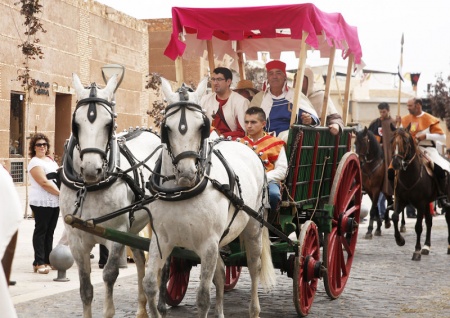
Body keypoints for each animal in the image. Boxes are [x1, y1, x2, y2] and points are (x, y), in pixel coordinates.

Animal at [60, 72, 161, 318]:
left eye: (109, 123)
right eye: (76, 123)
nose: (90, 169)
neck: (89, 187)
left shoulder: (118, 232)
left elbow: (109, 274)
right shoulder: (76, 239)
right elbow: (85, 287)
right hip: (135, 226)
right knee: (141, 257)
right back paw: (142, 308)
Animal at [142, 77, 276, 318]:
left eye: (201, 126)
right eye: (167, 128)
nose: (186, 174)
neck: (182, 192)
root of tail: (250, 148)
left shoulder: (209, 244)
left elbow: (203, 297)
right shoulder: (161, 239)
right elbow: (149, 285)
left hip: (253, 227)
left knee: (254, 267)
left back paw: (254, 309)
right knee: (221, 273)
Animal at [388, 125, 448, 260]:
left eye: (405, 141)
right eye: (391, 141)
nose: (396, 163)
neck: (410, 175)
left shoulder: (420, 203)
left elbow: (418, 227)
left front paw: (416, 251)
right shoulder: (400, 200)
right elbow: (394, 217)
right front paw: (400, 240)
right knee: (429, 221)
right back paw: (426, 246)